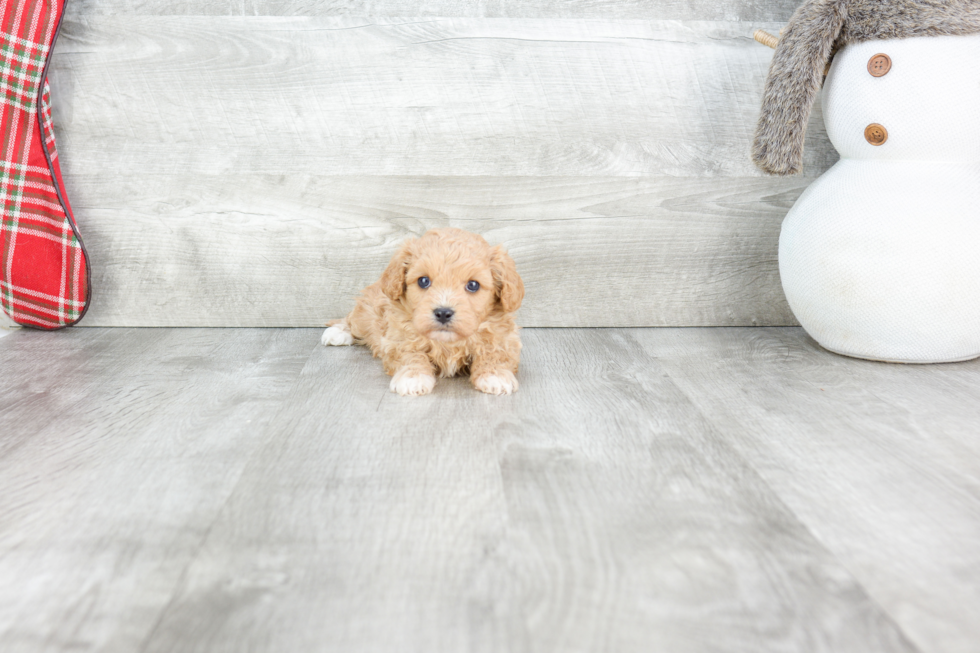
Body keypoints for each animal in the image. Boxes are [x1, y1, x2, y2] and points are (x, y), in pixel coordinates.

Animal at [322, 227, 524, 394]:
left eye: (473, 285)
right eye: (423, 281)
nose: (443, 313)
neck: (447, 342)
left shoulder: (504, 337)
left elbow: (496, 353)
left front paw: (495, 375)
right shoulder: (397, 338)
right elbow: (410, 355)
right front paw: (413, 377)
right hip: (366, 313)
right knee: (352, 319)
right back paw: (338, 332)